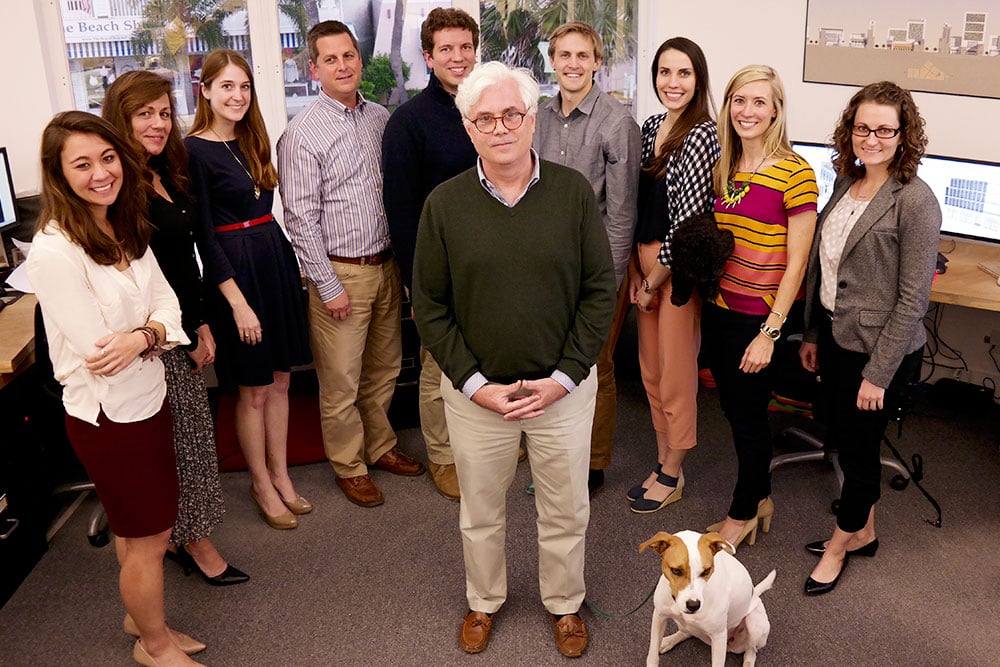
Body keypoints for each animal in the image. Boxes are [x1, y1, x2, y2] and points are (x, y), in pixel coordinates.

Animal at [640, 528, 772, 664]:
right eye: (676, 571)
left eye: (707, 571)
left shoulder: (719, 636)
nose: (693, 605)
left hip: (753, 624)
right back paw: (669, 640)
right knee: (687, 632)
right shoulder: (659, 616)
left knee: (751, 651)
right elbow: (652, 655)